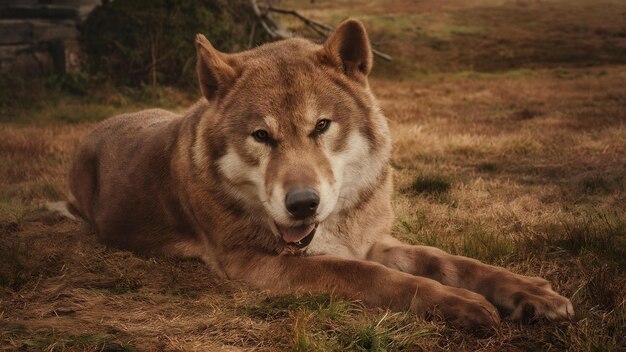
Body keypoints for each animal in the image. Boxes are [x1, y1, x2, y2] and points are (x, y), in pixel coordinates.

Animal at [67, 18, 572, 328]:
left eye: (322, 126)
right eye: (261, 136)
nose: (303, 204)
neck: (335, 228)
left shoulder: (373, 241)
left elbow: (448, 260)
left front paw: (528, 292)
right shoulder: (256, 264)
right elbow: (372, 277)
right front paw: (459, 303)